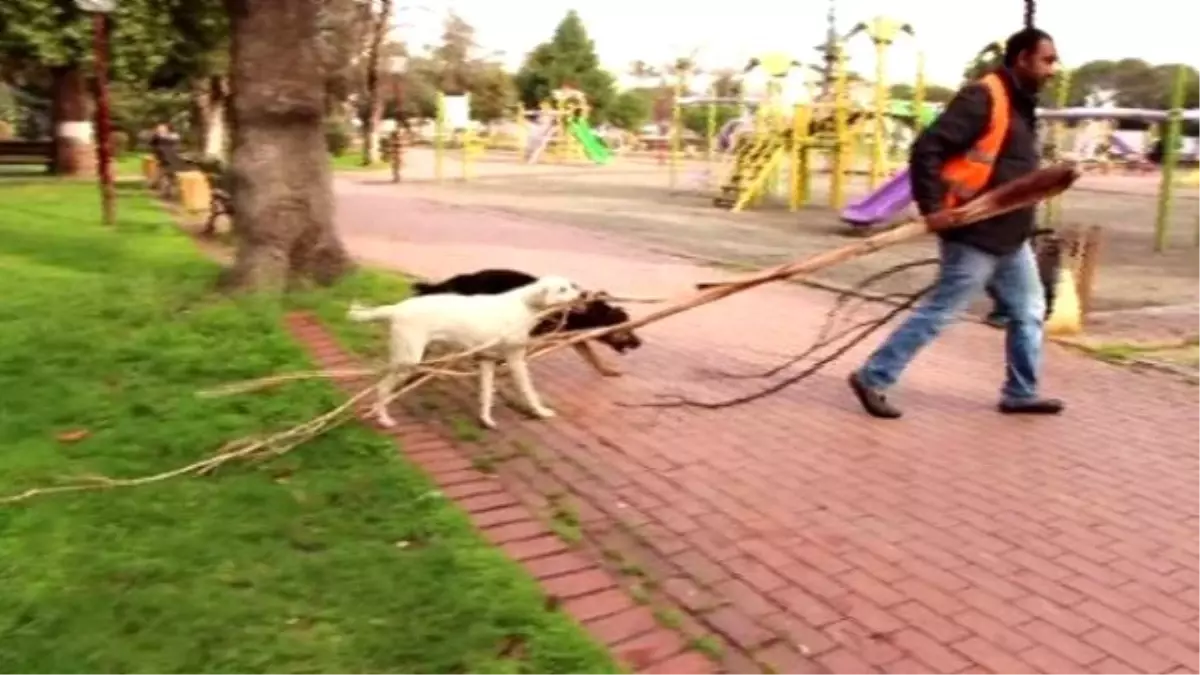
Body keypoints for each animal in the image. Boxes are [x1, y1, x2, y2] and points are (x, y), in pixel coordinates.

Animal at [345, 273, 583, 425]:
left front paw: (486, 419)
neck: (524, 305)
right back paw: (383, 418)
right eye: (562, 289)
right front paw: (541, 412)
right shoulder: (516, 359)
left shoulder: (487, 359)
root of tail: (397, 309)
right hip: (408, 361)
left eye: (571, 285)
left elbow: (486, 394)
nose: (583, 294)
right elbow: (529, 391)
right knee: (382, 388)